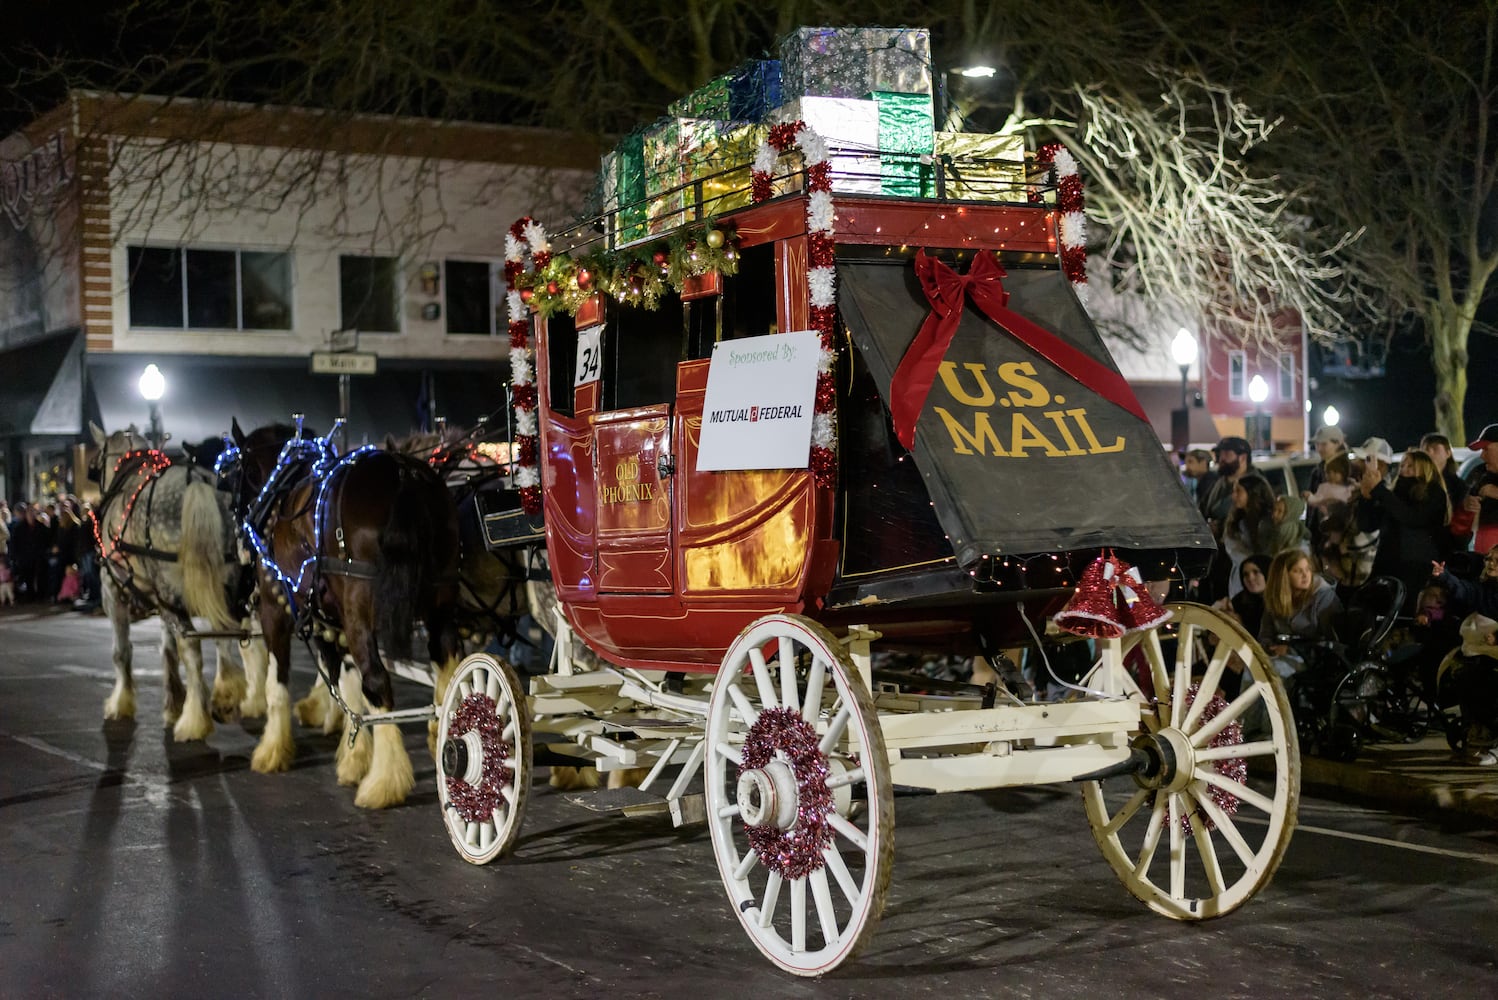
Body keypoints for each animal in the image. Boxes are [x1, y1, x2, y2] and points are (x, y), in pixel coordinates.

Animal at [90, 422, 266, 742]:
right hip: (220, 586)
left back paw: (194, 720)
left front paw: (120, 704)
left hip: (173, 592)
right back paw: (226, 697)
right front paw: (173, 702)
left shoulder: (113, 592)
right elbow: (167, 651)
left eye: (96, 466)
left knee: (193, 647)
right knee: (225, 636)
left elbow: (121, 652)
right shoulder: (162, 601)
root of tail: (196, 480)